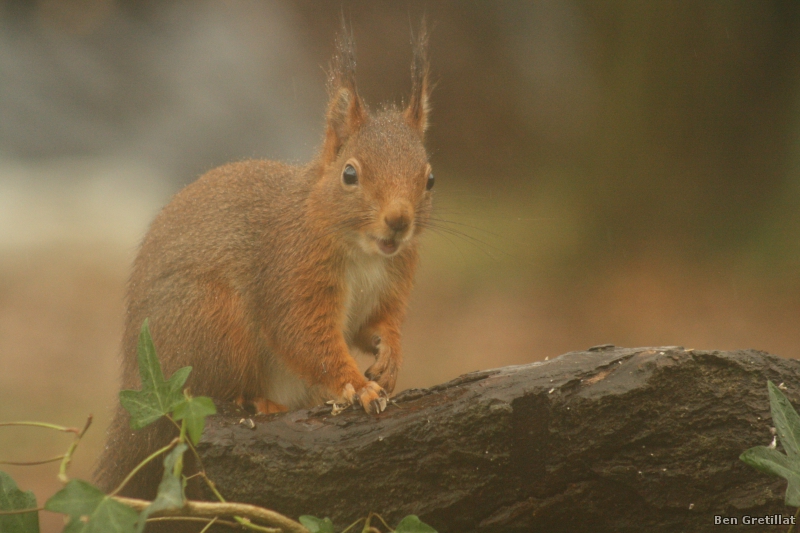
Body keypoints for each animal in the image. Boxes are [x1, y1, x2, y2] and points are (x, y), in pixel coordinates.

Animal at [97, 23, 434, 498]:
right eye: (349, 174)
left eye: (430, 179)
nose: (399, 222)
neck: (364, 252)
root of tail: (134, 382)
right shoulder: (291, 271)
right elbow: (306, 338)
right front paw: (359, 387)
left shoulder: (391, 283)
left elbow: (374, 327)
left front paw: (390, 358)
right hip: (209, 323)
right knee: (206, 393)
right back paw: (257, 401)